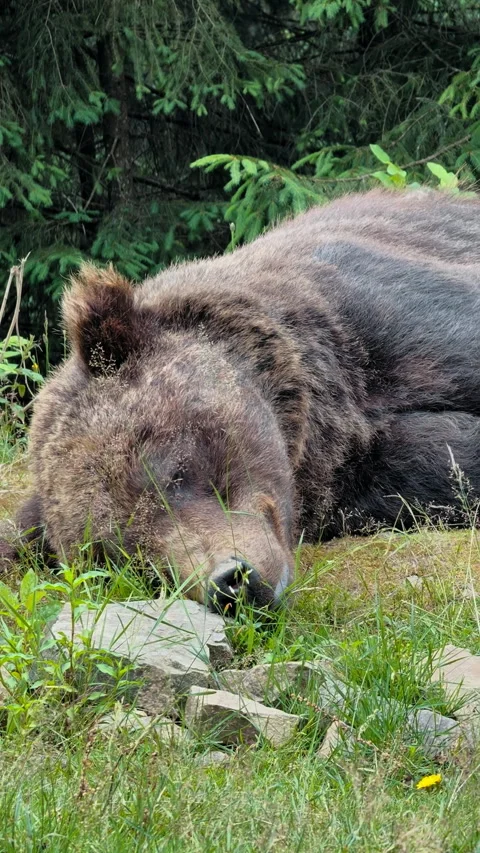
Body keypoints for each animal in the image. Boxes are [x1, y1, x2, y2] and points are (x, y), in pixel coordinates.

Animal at [6, 188, 480, 611]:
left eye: (173, 472)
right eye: (129, 561)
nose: (231, 582)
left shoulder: (388, 319)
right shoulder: (364, 475)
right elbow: (439, 462)